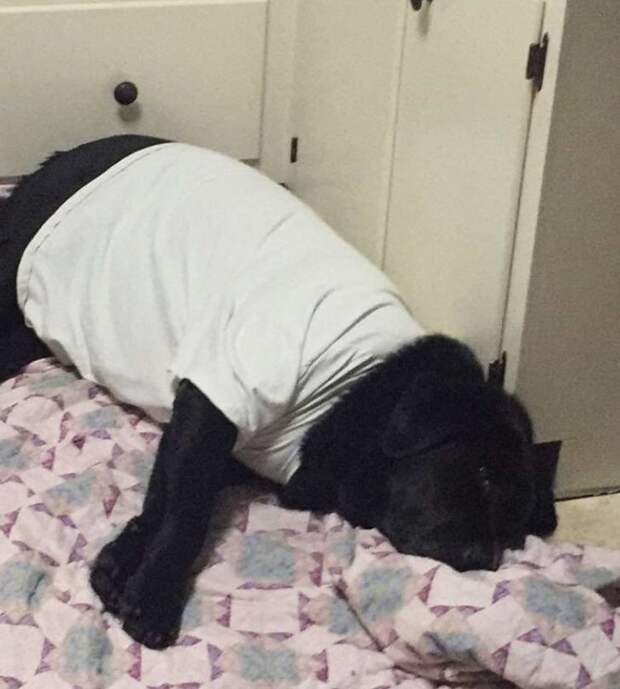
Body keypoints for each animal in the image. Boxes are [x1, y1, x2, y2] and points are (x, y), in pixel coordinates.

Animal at [0, 135, 558, 649]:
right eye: (483, 475)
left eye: (514, 531)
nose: (482, 561)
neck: (360, 388)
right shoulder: (217, 399)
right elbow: (187, 512)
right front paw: (156, 595)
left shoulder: (214, 439)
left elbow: (164, 493)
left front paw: (122, 562)